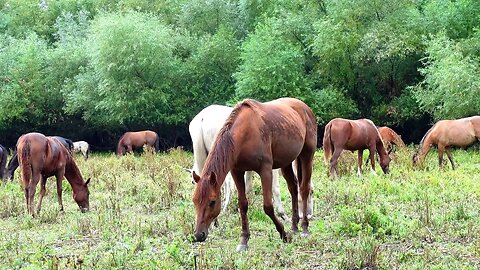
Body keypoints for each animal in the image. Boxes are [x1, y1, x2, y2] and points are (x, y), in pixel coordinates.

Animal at [191, 98, 318, 252]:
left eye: (212, 202)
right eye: (194, 201)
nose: (199, 235)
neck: (246, 132)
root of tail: (305, 107)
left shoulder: (266, 170)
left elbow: (268, 206)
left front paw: (284, 234)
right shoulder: (237, 171)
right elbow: (243, 204)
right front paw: (244, 240)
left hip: (307, 155)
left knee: (304, 188)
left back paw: (304, 227)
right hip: (287, 161)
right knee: (293, 188)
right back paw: (294, 227)